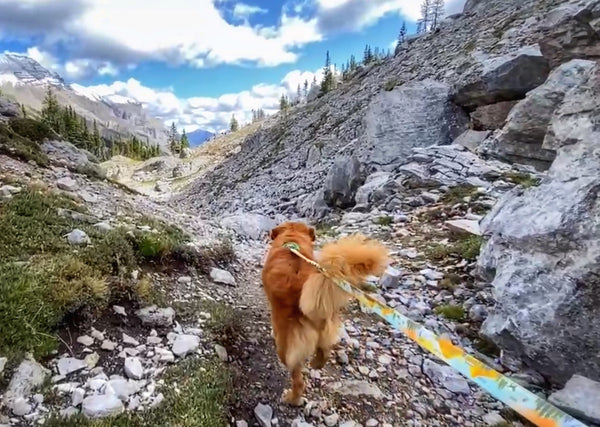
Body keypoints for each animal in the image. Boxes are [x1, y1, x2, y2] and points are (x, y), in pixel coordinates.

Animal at [262, 222, 390, 406]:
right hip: (326, 329)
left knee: (298, 381)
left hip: (286, 348)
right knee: (325, 351)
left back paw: (292, 398)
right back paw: (316, 363)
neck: (292, 241)